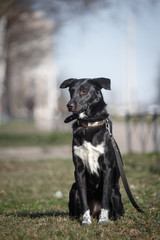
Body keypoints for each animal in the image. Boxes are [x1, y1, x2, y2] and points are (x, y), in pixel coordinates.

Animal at [60, 78, 124, 224]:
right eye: (71, 91)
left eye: (84, 91)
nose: (69, 105)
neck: (88, 125)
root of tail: (95, 211)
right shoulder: (79, 168)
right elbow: (84, 201)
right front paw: (85, 221)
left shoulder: (107, 168)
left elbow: (105, 198)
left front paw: (103, 220)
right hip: (73, 189)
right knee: (75, 207)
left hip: (115, 192)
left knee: (118, 211)